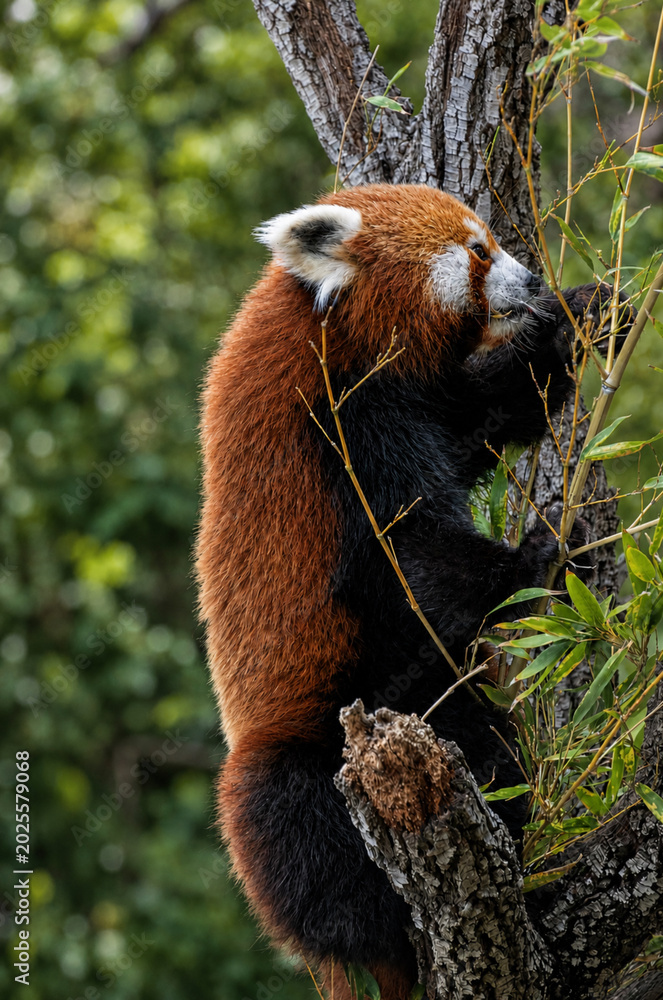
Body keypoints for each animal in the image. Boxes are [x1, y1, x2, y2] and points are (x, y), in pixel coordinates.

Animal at [196, 184, 617, 999]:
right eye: (479, 251)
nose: (531, 282)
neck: (336, 338)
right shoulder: (341, 427)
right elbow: (412, 553)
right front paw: (541, 557)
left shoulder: (423, 404)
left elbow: (485, 416)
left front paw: (581, 318)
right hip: (307, 748)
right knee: (307, 835)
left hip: (424, 707)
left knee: (484, 745)